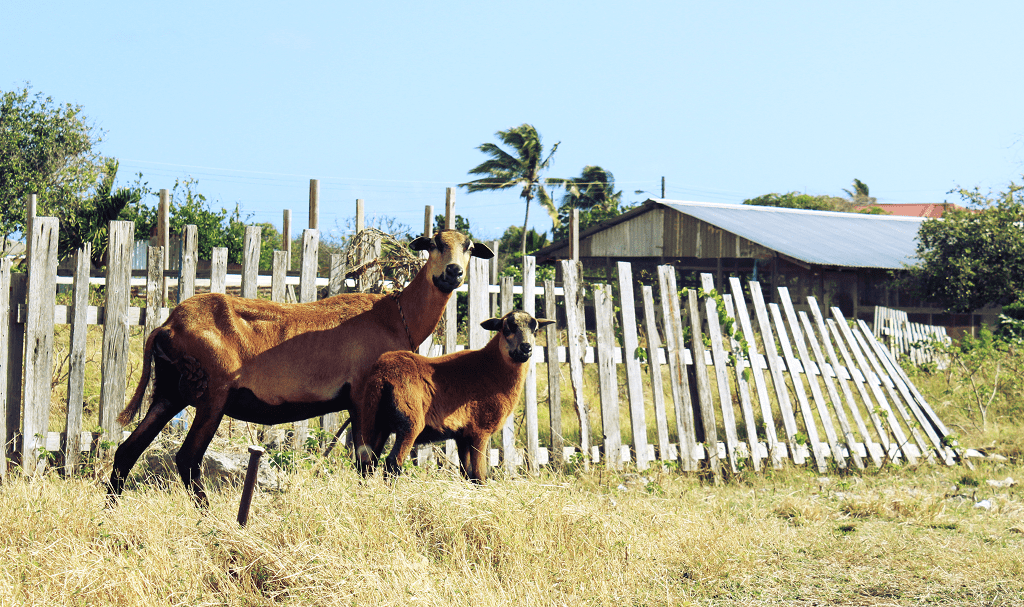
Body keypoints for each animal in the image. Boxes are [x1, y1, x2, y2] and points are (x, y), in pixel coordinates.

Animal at [108, 229, 491, 503]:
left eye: (470, 247)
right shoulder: (362, 399)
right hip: (211, 395)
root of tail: (167, 326)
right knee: (188, 460)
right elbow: (365, 464)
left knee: (127, 451)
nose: (453, 273)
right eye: (435, 244)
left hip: (169, 391)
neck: (397, 316)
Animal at [358, 309, 557, 481]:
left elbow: (467, 473)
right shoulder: (480, 430)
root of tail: (383, 374)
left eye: (535, 330)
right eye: (507, 328)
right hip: (409, 422)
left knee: (366, 462)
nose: (526, 348)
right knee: (392, 463)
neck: (492, 368)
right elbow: (479, 475)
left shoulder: (462, 435)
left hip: (374, 421)